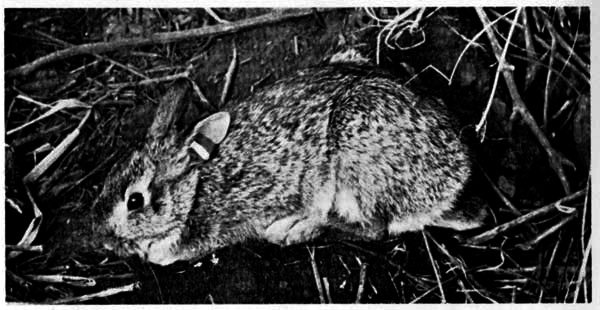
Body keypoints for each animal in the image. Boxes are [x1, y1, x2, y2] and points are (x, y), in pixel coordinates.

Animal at [95, 63, 488, 266]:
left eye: (135, 201)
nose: (101, 238)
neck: (196, 189)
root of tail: (451, 186)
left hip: (357, 167)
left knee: (376, 227)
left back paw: (291, 229)